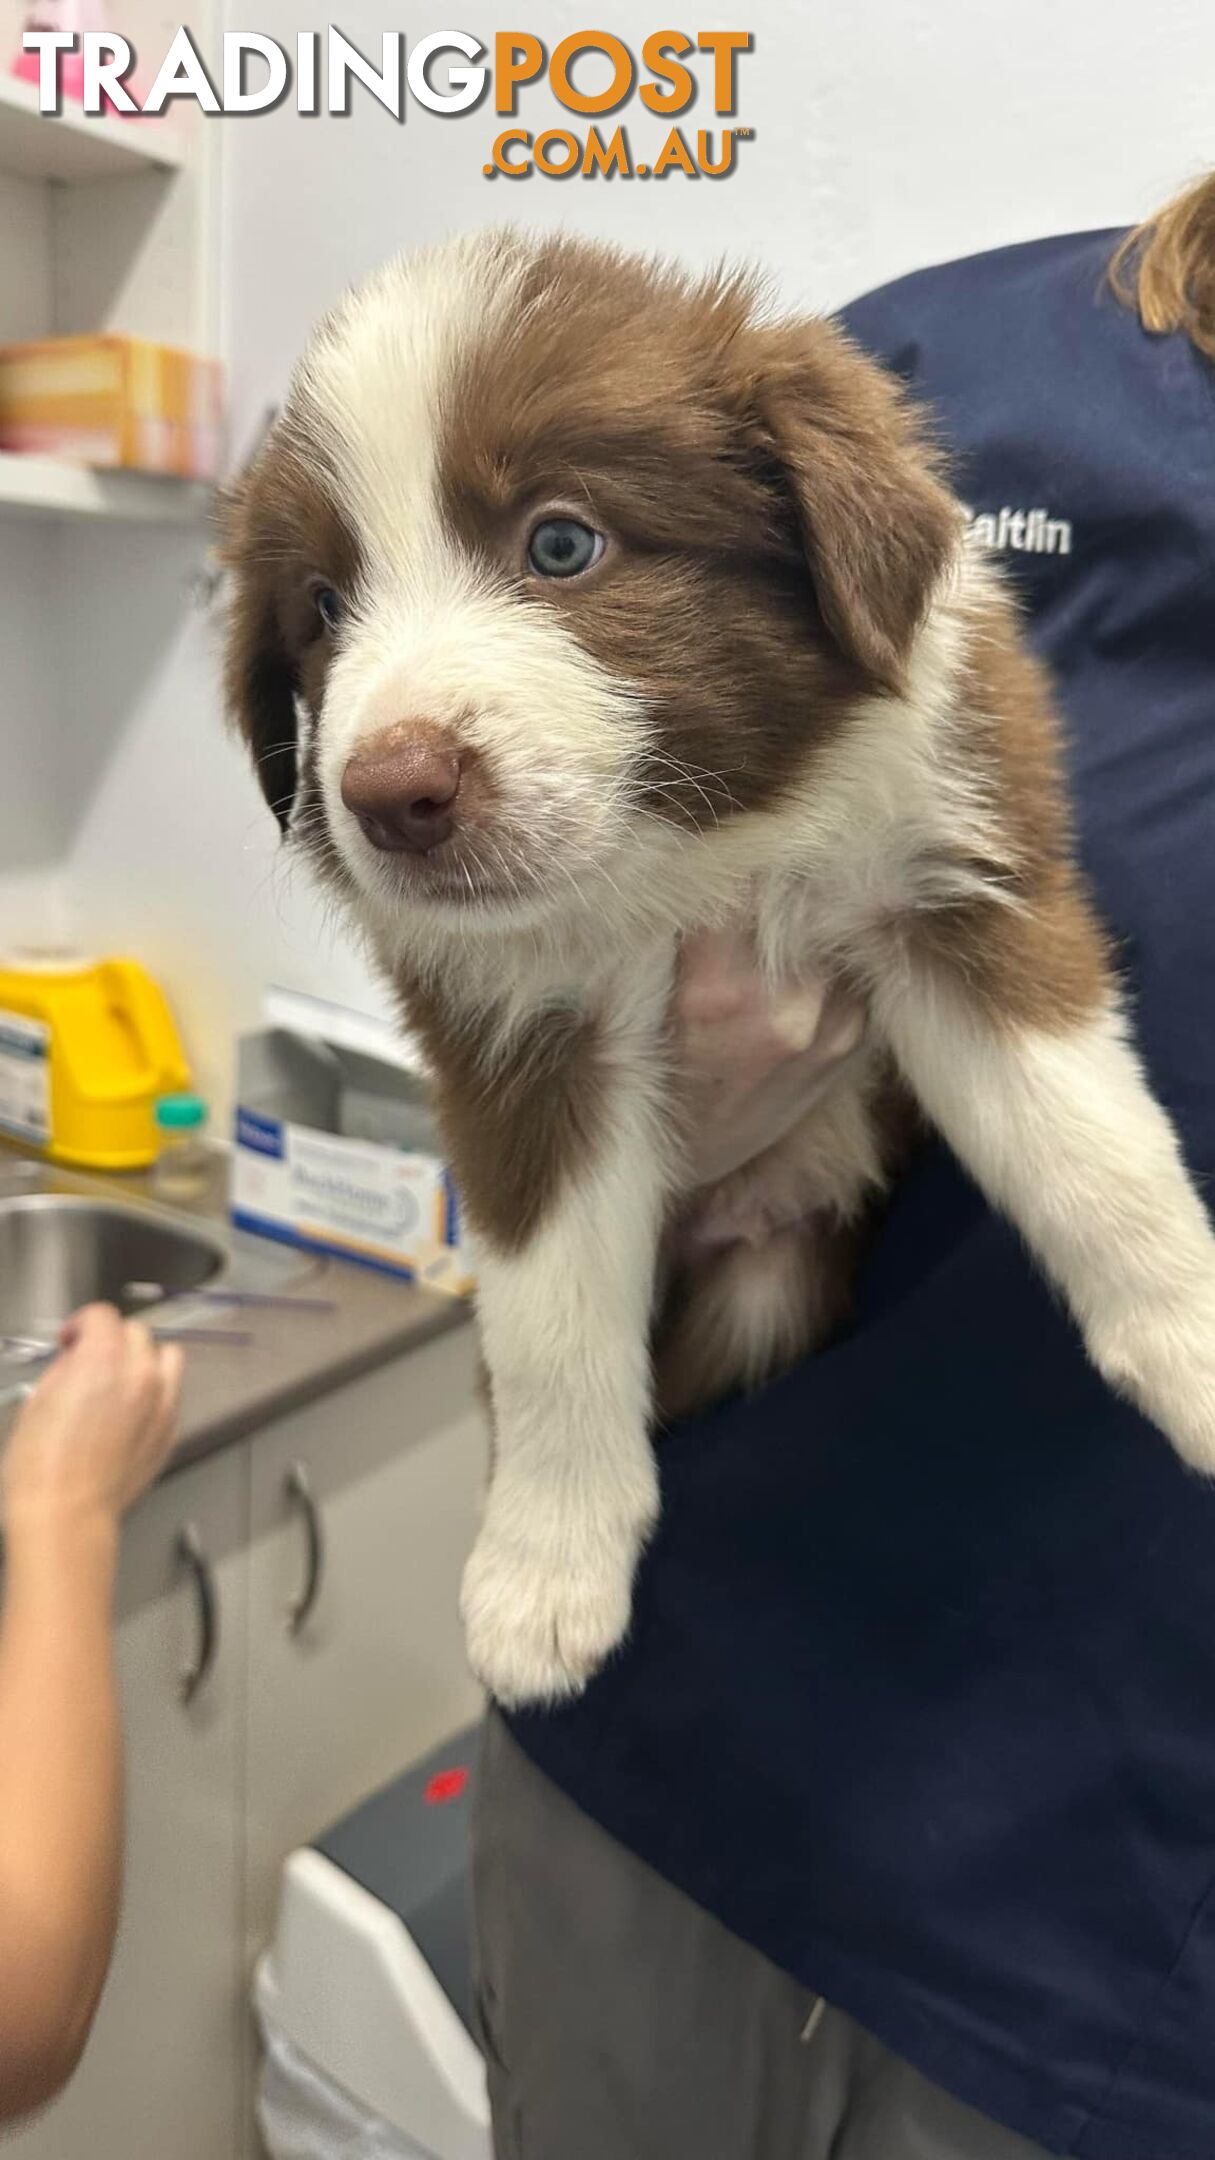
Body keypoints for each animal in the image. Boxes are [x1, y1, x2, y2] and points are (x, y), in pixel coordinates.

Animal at [222, 232, 1210, 1702]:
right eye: (327, 607)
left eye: (561, 542)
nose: (389, 792)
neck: (702, 846)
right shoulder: (519, 1045)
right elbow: (549, 1321)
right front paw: (542, 1577)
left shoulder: (960, 884)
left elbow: (1090, 1148)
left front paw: (1195, 1349)